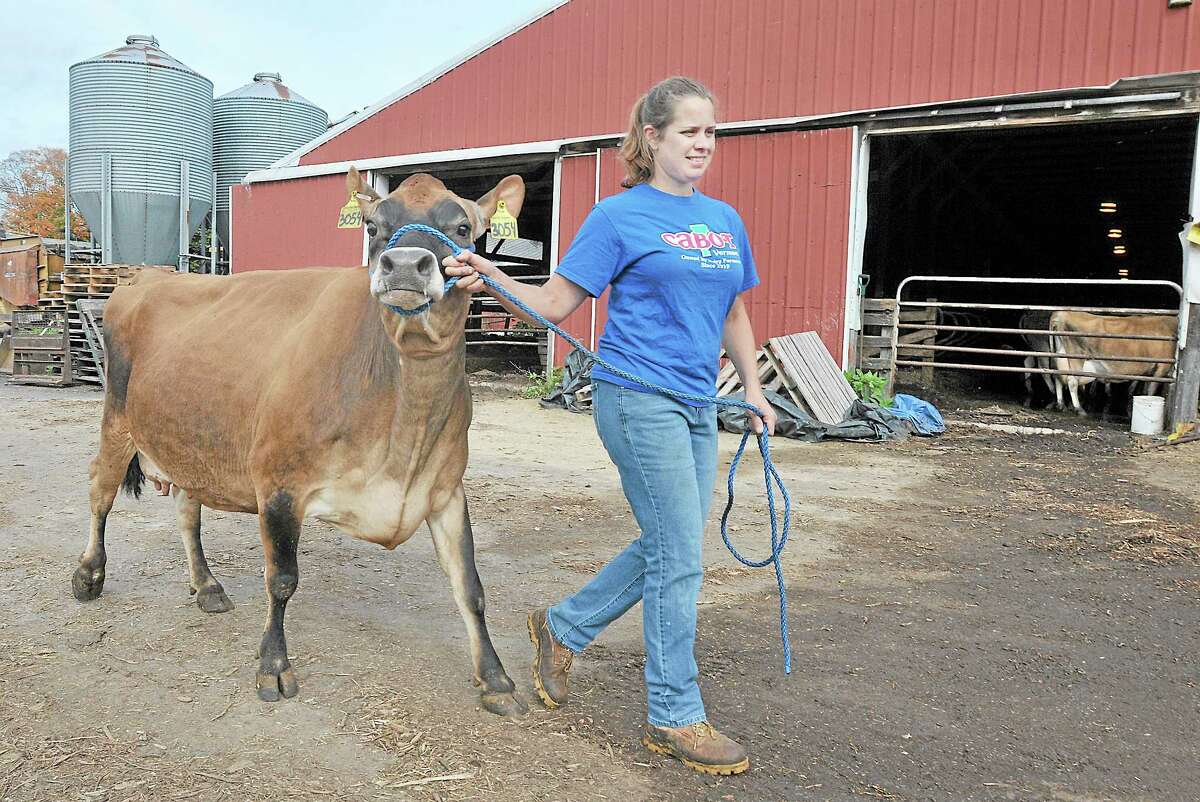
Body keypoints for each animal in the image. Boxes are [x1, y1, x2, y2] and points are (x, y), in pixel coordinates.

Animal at [70, 168, 528, 715]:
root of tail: (150, 276)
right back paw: (88, 575)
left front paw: (497, 679)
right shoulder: (280, 483)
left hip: (193, 439)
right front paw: (273, 666)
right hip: (117, 419)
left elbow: (470, 587)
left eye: (462, 228)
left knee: (186, 508)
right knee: (99, 492)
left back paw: (206, 586)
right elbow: (282, 580)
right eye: (373, 226)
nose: (404, 266)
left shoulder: (445, 490)